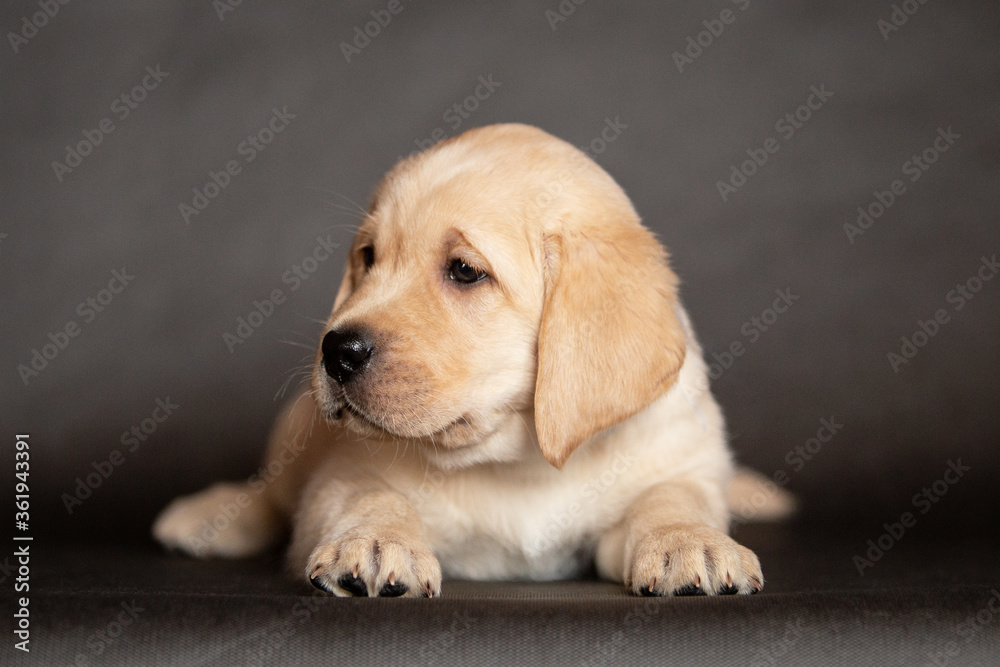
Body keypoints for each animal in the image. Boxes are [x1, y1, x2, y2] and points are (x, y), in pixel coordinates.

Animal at [152, 122, 792, 596]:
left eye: (464, 271)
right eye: (368, 257)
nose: (335, 350)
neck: (515, 460)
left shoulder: (678, 460)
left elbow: (673, 498)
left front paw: (690, 542)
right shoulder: (342, 470)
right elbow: (365, 494)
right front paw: (374, 542)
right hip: (296, 426)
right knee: (270, 491)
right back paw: (213, 516)